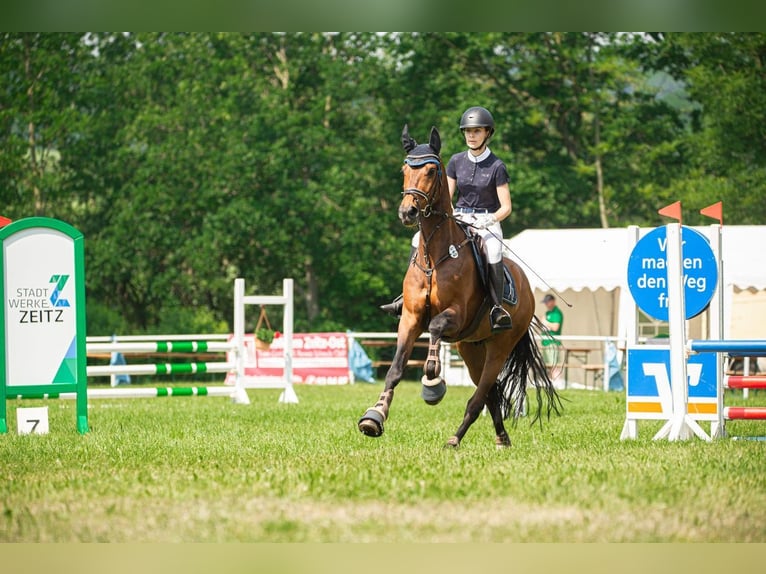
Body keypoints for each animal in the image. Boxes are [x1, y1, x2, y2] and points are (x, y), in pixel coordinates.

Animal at [358, 125, 561, 448]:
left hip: (499, 346)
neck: (435, 257)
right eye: (405, 168)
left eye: (431, 170)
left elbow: (436, 328)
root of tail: (527, 289)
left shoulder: (456, 315)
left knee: (481, 394)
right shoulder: (411, 317)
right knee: (491, 392)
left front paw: (432, 381)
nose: (407, 213)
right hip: (471, 347)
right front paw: (374, 417)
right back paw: (501, 437)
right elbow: (395, 370)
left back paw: (455, 438)